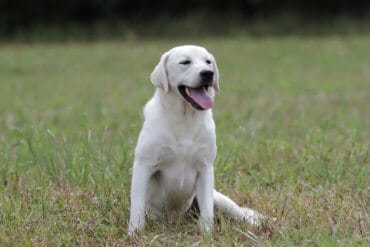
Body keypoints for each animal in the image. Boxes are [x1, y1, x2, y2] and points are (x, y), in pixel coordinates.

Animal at [129, 45, 262, 236]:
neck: (185, 118)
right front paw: (134, 233)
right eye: (185, 62)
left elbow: (207, 211)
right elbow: (137, 206)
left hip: (220, 199)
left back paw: (258, 222)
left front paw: (207, 235)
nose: (208, 73)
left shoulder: (205, 168)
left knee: (240, 212)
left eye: (208, 62)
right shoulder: (144, 164)